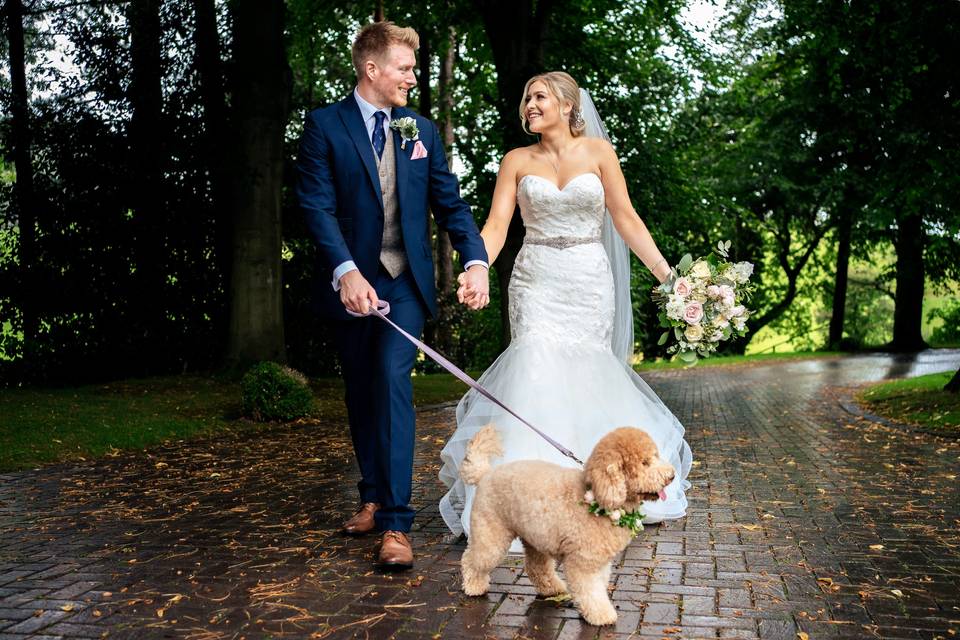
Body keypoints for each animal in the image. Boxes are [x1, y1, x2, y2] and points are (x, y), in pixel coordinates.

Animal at [460, 424, 676, 624]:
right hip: (491, 535)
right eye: (645, 463)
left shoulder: (599, 561)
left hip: (536, 538)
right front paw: (601, 615)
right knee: (472, 559)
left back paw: (551, 588)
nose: (672, 475)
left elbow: (598, 586)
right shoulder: (583, 561)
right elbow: (591, 591)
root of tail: (485, 474)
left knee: (536, 566)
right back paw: (474, 586)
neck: (595, 497)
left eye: (655, 456)